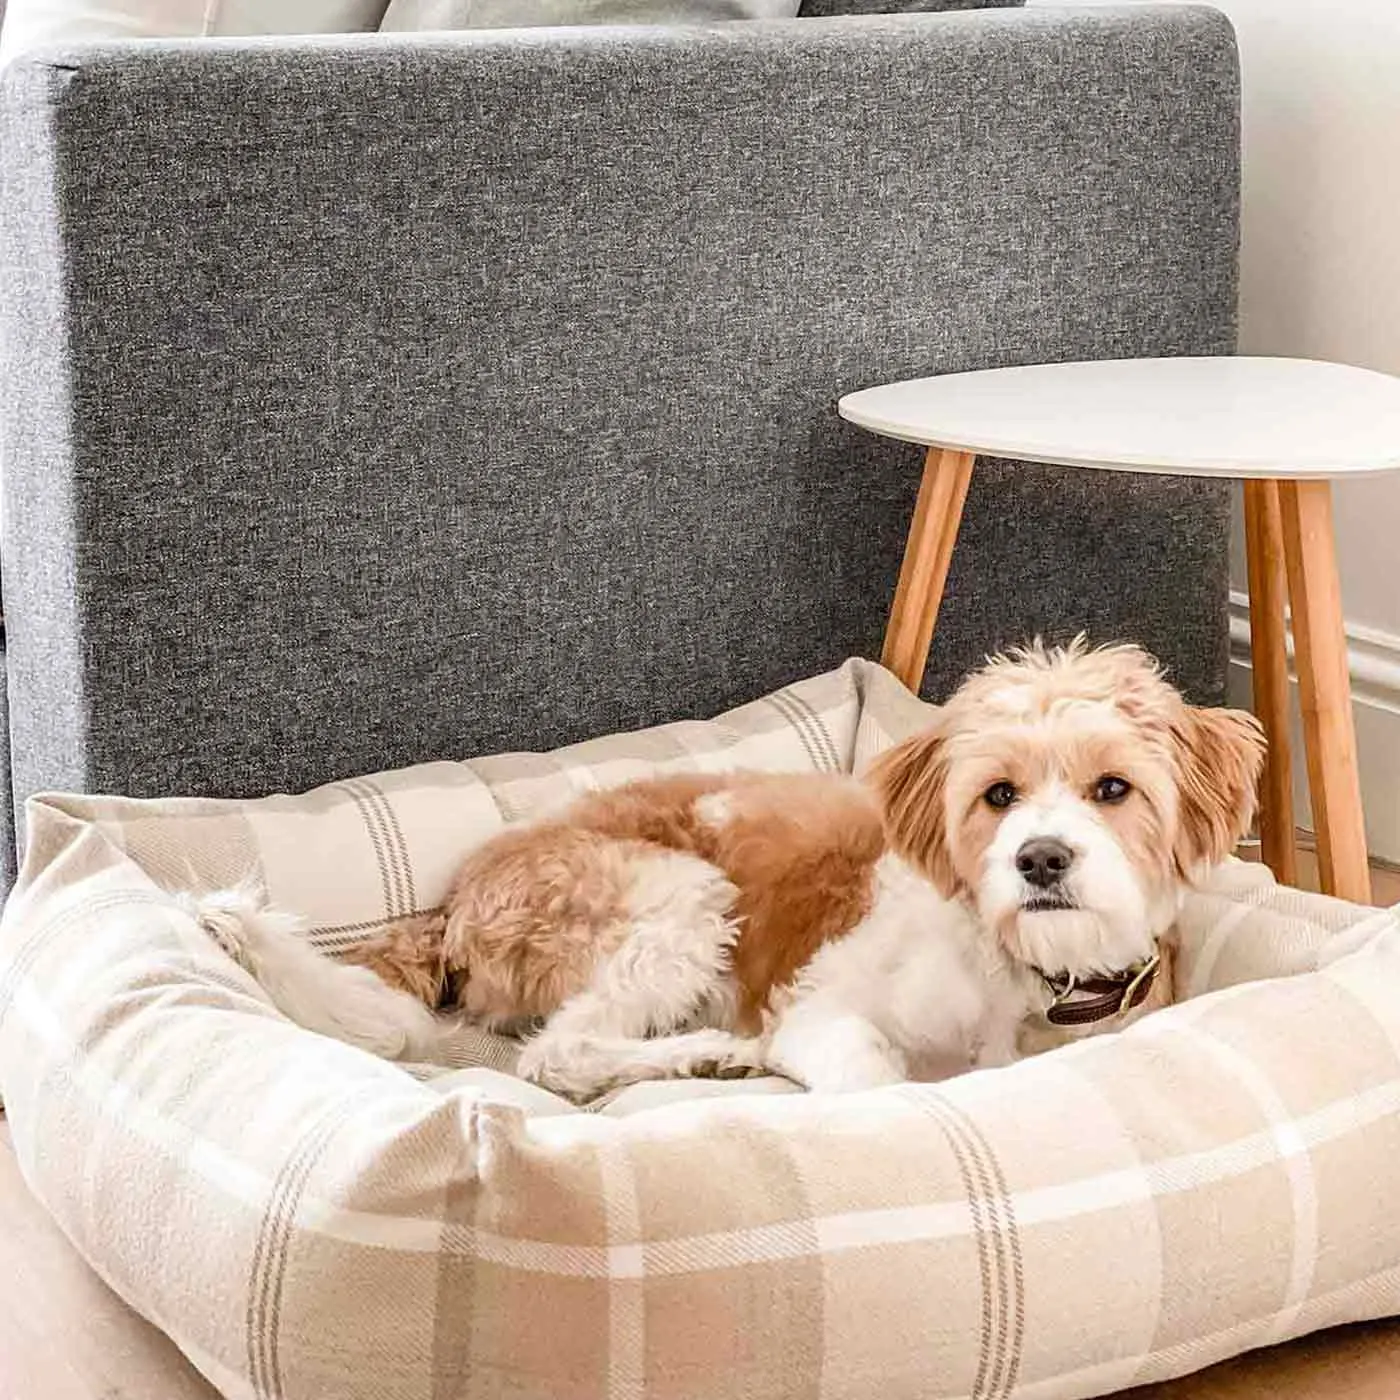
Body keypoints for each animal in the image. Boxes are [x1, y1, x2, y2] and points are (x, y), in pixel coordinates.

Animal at [200, 641, 1271, 1097]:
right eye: (997, 795)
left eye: (1112, 789)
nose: (1040, 858)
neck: (1030, 974)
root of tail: (458, 897)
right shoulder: (826, 1011)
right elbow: (881, 1085)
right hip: (680, 897)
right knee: (559, 1055)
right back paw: (707, 1053)